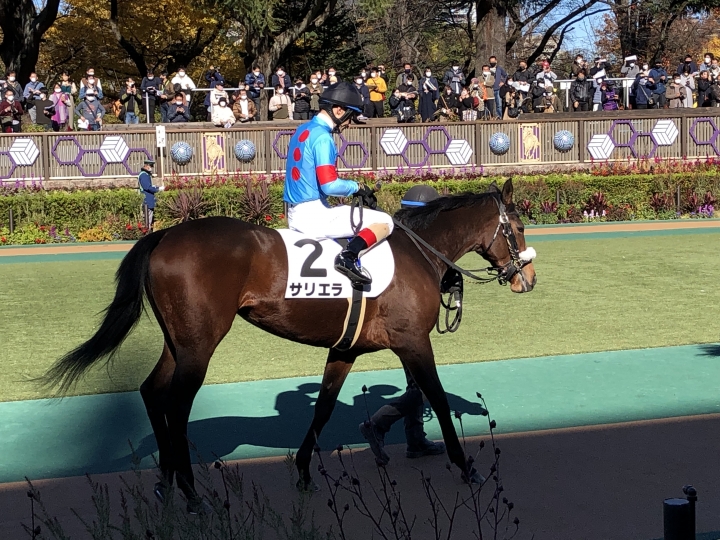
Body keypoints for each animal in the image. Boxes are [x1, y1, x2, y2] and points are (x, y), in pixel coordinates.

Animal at [44, 178, 536, 512]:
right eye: (518, 226)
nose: (528, 278)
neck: (418, 253)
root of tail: (164, 233)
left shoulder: (345, 350)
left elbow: (324, 407)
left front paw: (303, 471)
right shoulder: (413, 342)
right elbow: (434, 394)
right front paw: (466, 465)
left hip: (178, 341)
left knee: (151, 391)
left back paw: (165, 482)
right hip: (200, 345)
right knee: (178, 405)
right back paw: (190, 492)